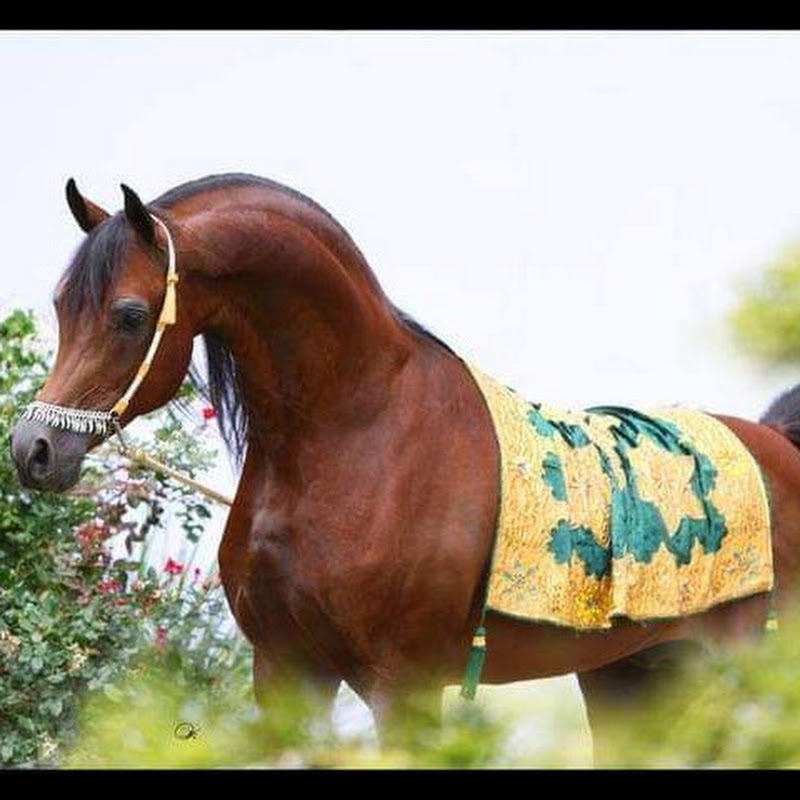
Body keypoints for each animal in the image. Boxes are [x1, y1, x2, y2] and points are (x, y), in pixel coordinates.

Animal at [10, 173, 800, 759]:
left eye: (130, 315)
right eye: (60, 305)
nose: (32, 450)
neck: (358, 435)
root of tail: (777, 445)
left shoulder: (405, 689)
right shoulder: (284, 674)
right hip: (631, 678)